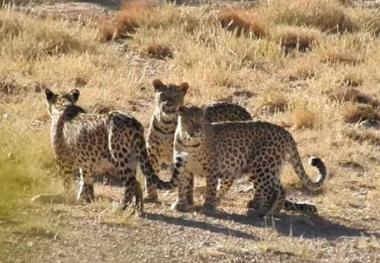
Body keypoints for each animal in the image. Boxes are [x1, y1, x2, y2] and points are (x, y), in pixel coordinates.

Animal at [44, 88, 187, 214]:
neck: (63, 104)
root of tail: (135, 123)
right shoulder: (86, 164)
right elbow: (86, 181)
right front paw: (86, 198)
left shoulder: (63, 162)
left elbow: (67, 182)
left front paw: (70, 197)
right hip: (131, 159)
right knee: (136, 183)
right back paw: (138, 209)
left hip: (119, 157)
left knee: (130, 183)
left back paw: (121, 208)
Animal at [172, 106, 326, 218]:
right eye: (191, 120)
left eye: (202, 121)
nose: (198, 130)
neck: (189, 143)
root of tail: (285, 132)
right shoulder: (184, 168)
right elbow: (182, 186)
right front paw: (180, 204)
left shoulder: (212, 169)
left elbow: (210, 188)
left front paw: (208, 206)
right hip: (265, 168)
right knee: (274, 189)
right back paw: (266, 210)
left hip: (262, 166)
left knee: (275, 190)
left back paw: (266, 213)